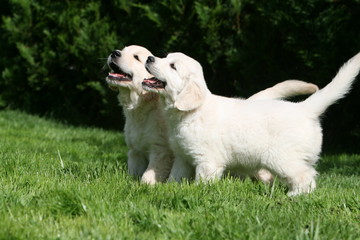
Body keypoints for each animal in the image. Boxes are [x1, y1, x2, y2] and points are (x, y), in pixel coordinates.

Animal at [107, 45, 318, 185]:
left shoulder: (162, 151)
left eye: (136, 57)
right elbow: (135, 171)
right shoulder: (135, 151)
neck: (142, 109)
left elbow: (150, 174)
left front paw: (148, 185)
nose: (114, 53)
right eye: (123, 50)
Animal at [143, 52, 360, 195]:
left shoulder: (207, 161)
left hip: (282, 158)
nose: (150, 58)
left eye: (173, 66)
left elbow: (203, 181)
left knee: (305, 176)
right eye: (164, 57)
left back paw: (294, 196)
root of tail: (305, 109)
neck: (189, 113)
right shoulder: (183, 157)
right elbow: (175, 176)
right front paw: (169, 189)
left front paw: (198, 192)